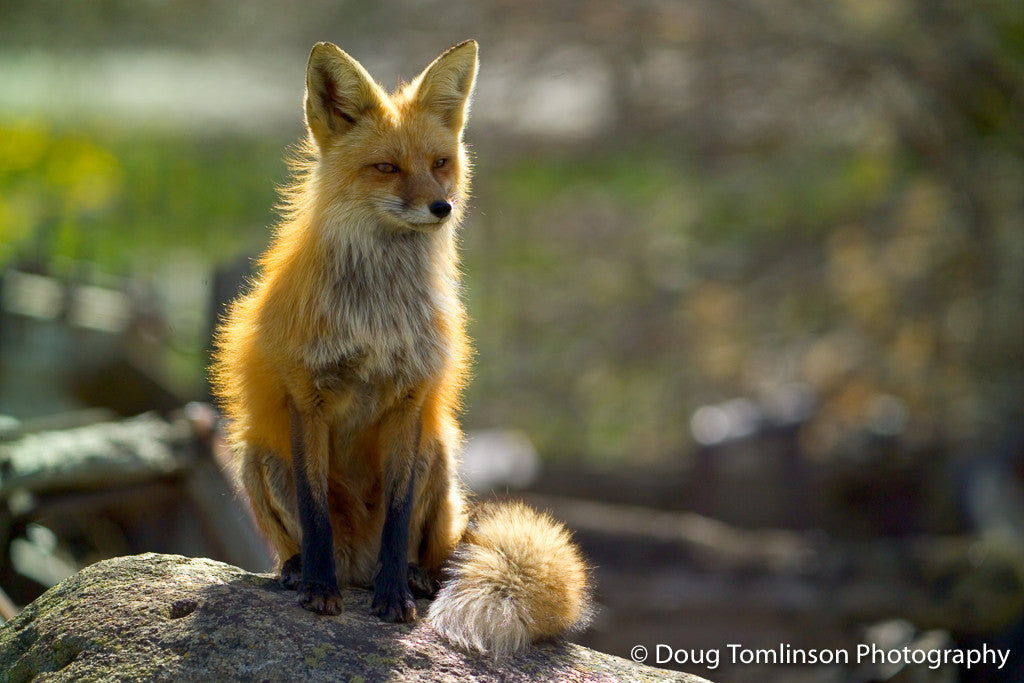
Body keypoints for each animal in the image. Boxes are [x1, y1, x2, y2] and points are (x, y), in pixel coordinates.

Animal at [210, 40, 591, 656]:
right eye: (386, 167)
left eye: (439, 164)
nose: (442, 208)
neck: (376, 318)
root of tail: (357, 567)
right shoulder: (307, 399)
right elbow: (316, 513)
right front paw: (318, 590)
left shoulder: (410, 402)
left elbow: (397, 514)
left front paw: (395, 600)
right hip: (254, 453)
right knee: (308, 539)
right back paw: (300, 570)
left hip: (441, 450)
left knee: (435, 555)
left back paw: (414, 578)